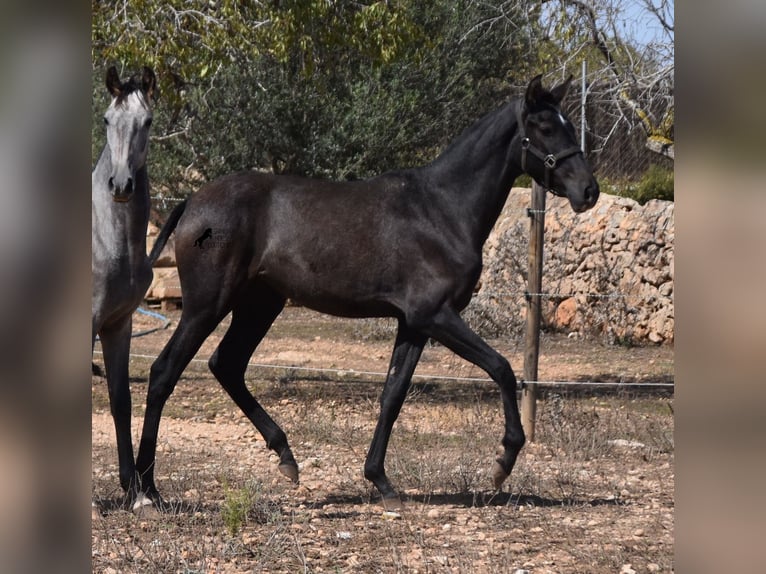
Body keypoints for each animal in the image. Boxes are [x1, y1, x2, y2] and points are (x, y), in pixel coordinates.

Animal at [136, 74, 600, 510]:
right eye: (544, 126)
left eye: (568, 123)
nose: (589, 191)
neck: (441, 209)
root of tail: (193, 202)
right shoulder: (436, 315)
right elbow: (501, 367)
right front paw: (503, 461)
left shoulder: (413, 324)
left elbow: (392, 396)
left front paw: (381, 481)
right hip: (207, 305)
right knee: (165, 372)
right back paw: (145, 490)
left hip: (260, 304)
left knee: (227, 365)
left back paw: (286, 458)